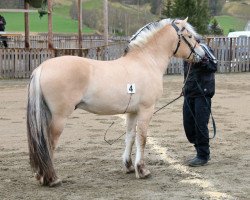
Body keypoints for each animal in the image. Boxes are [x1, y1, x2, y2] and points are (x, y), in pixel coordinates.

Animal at [26, 18, 205, 187]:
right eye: (190, 36)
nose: (203, 54)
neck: (146, 61)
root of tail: (41, 68)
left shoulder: (132, 112)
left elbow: (130, 137)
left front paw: (129, 166)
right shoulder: (146, 110)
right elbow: (142, 138)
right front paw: (142, 170)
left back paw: (41, 176)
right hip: (59, 118)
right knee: (49, 144)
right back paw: (52, 179)